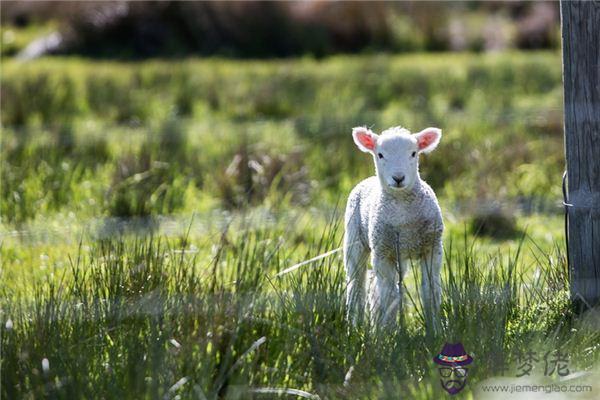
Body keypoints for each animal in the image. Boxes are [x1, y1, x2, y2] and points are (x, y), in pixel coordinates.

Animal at [344, 125, 442, 328]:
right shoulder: (383, 252)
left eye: (413, 153)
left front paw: (436, 329)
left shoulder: (432, 247)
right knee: (356, 286)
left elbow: (430, 292)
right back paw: (355, 326)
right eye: (380, 154)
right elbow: (388, 297)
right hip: (355, 240)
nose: (398, 178)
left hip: (399, 254)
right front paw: (387, 332)